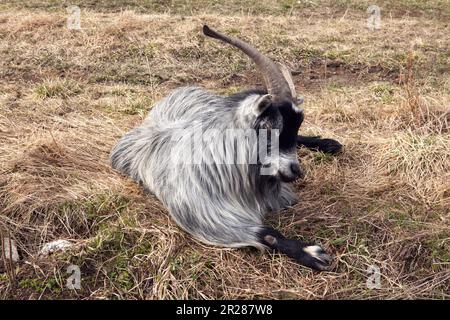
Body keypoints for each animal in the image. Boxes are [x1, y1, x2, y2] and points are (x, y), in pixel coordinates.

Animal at [110, 25, 342, 270]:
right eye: (270, 127)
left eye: (297, 125)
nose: (296, 171)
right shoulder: (208, 218)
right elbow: (267, 234)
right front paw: (312, 253)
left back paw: (330, 144)